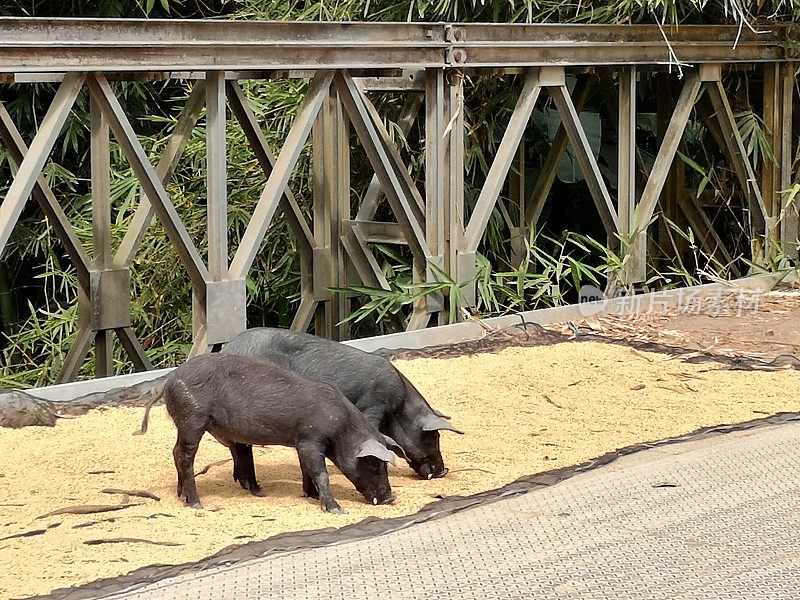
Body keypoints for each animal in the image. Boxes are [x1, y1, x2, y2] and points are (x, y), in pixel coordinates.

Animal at [138, 354, 404, 512]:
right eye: (375, 464)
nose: (391, 498)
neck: (342, 428)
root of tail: (169, 381)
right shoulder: (311, 439)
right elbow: (321, 473)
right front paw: (336, 509)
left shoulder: (301, 442)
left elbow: (305, 469)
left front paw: (309, 495)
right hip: (192, 420)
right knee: (183, 455)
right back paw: (196, 504)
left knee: (177, 454)